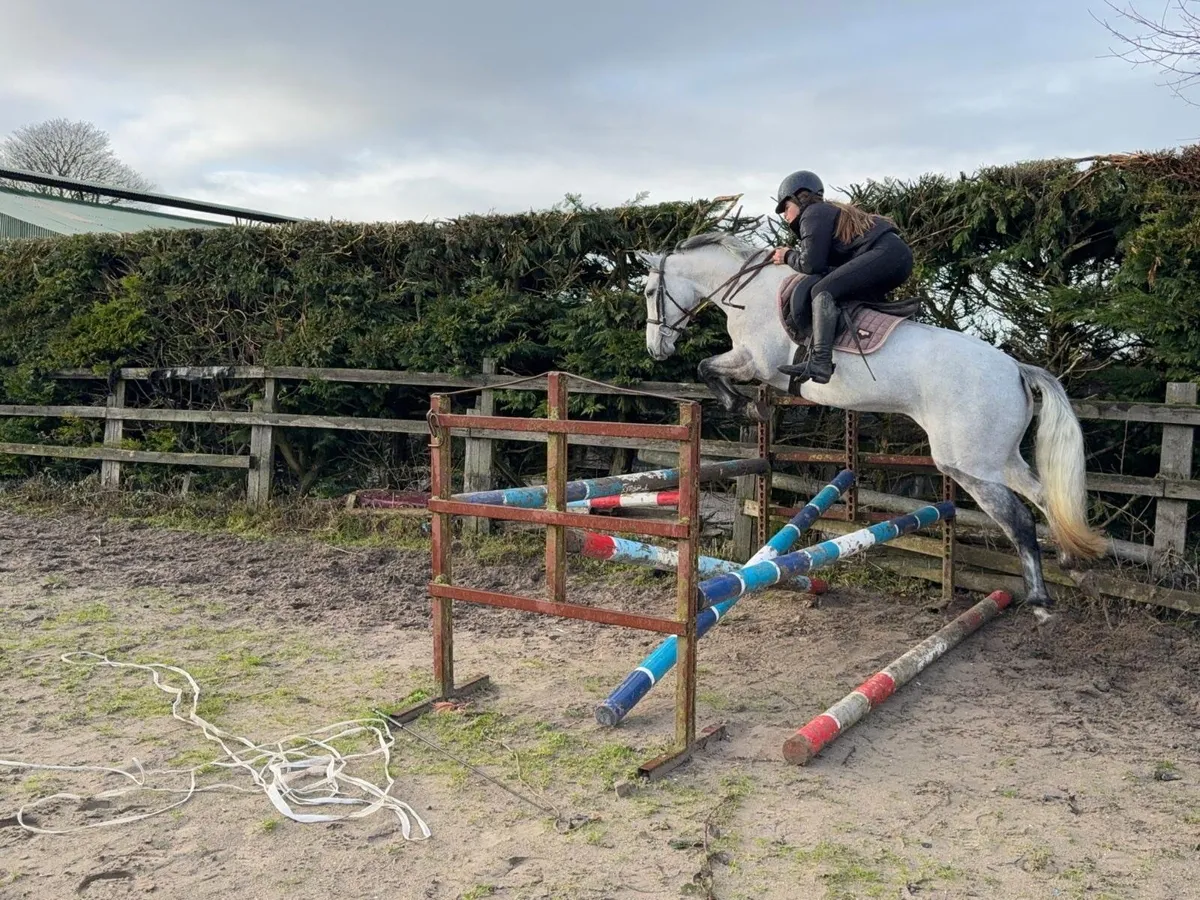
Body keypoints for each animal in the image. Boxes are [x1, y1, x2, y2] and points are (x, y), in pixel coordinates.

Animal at [634, 231, 1108, 622]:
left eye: (651, 291)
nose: (656, 349)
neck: (748, 290)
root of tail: (1016, 369)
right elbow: (709, 369)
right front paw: (751, 408)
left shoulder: (755, 362)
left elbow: (707, 367)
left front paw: (746, 407)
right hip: (1001, 458)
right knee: (1045, 497)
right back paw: (1072, 565)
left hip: (969, 465)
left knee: (1019, 521)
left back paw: (1042, 601)